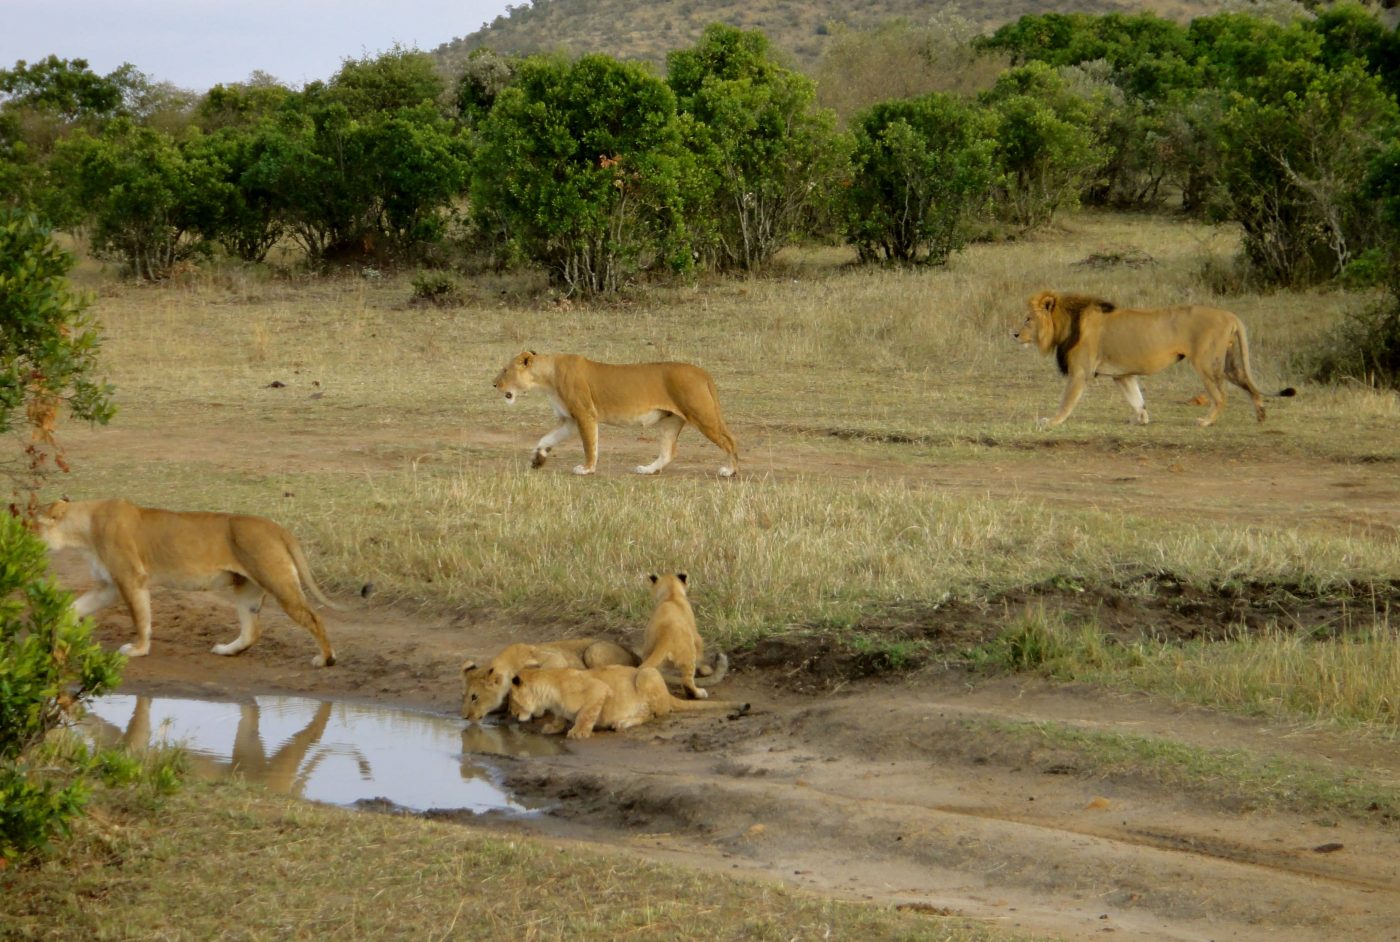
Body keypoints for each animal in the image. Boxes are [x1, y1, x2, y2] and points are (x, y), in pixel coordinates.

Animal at [492, 348, 739, 473]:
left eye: (505, 370)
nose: (493, 384)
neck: (546, 378)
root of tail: (702, 372)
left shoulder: (585, 414)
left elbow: (590, 445)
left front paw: (587, 468)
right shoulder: (568, 419)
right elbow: (546, 438)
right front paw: (537, 459)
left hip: (702, 415)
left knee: (730, 441)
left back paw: (730, 470)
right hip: (670, 420)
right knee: (668, 452)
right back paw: (647, 469)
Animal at [1013, 292, 1293, 428]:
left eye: (1027, 319)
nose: (1013, 334)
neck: (1066, 322)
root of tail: (1230, 315)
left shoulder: (1080, 372)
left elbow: (1066, 402)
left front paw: (1051, 421)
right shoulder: (1122, 375)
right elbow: (1136, 399)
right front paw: (1141, 419)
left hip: (1205, 362)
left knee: (1221, 396)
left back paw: (1205, 422)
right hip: (1230, 363)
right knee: (1250, 386)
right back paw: (1261, 416)